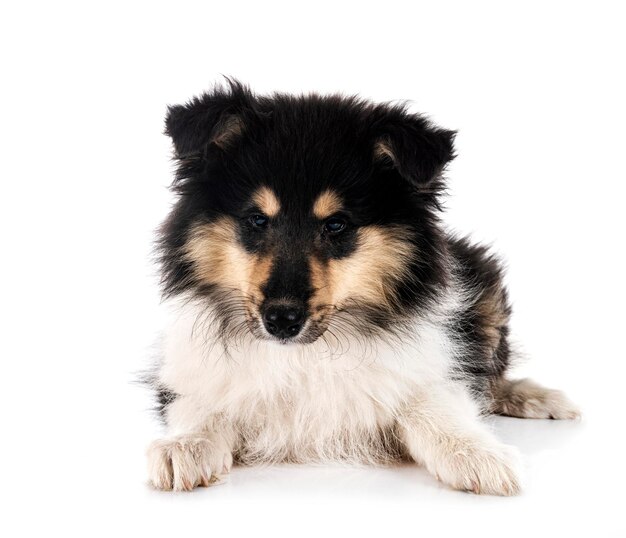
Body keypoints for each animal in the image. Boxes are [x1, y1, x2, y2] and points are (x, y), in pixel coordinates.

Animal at [145, 77, 576, 492]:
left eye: (337, 224)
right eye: (256, 219)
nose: (281, 320)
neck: (306, 354)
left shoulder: (433, 364)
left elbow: (434, 401)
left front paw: (478, 456)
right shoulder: (183, 373)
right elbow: (199, 404)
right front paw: (182, 448)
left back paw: (541, 398)